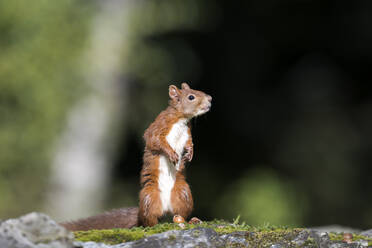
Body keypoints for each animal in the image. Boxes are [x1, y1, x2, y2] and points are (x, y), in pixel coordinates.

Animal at [61, 83, 212, 231]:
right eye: (191, 97)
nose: (210, 99)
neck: (181, 120)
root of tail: (166, 208)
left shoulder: (187, 133)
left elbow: (189, 144)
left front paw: (190, 154)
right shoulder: (158, 127)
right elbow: (155, 141)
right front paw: (171, 154)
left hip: (184, 194)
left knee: (180, 213)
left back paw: (190, 220)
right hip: (148, 199)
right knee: (148, 221)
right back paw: (152, 225)